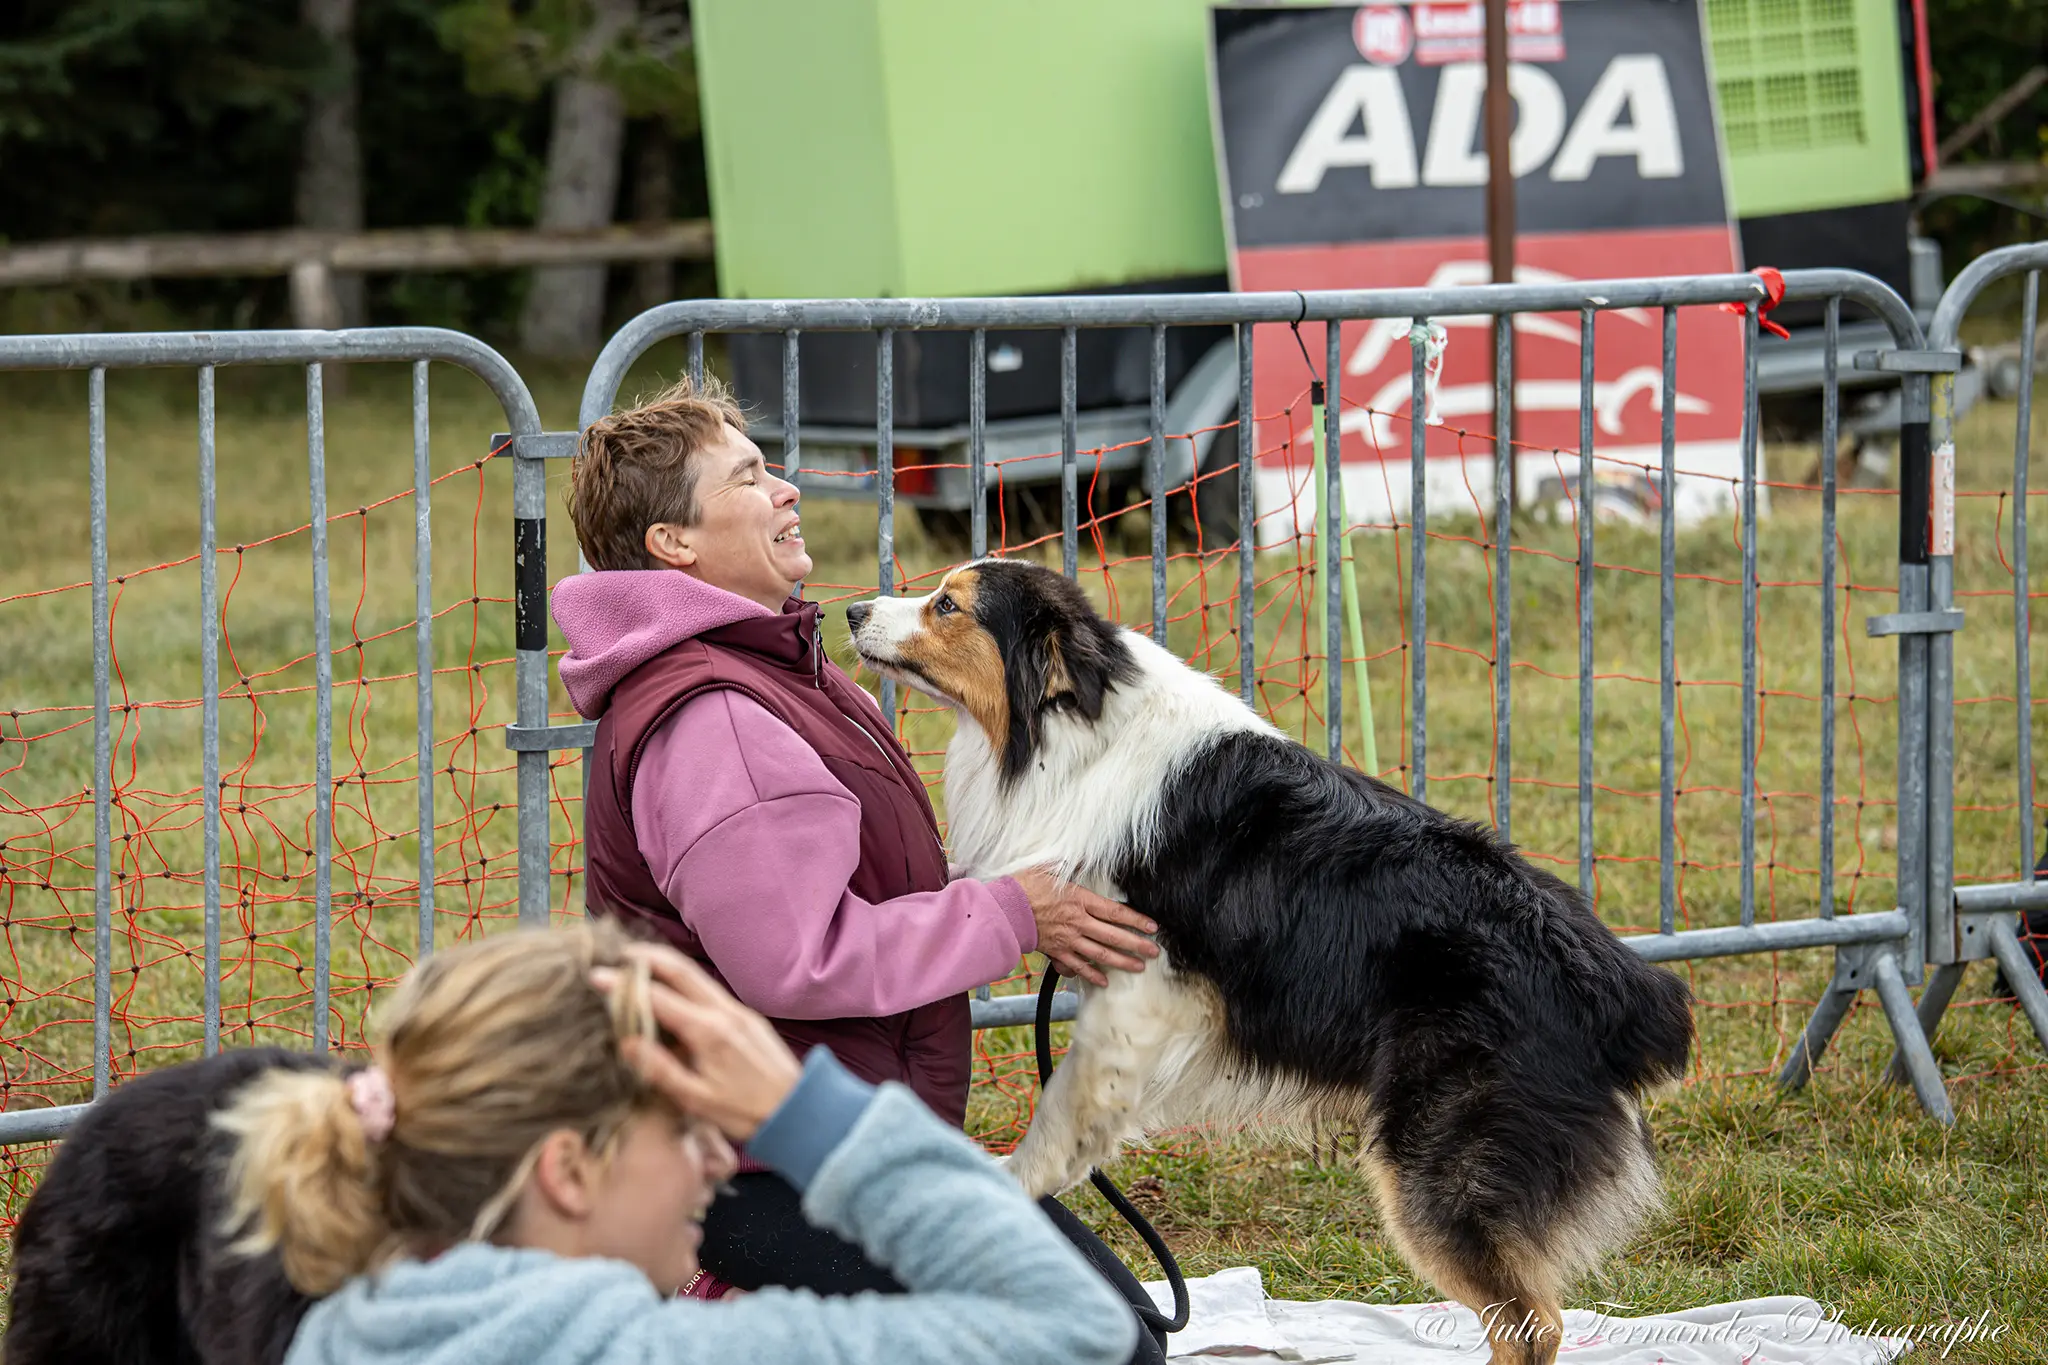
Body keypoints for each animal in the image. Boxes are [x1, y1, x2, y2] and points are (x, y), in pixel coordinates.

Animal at [847, 556, 1695, 1365]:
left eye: (948, 604)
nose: (850, 609)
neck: (1076, 733)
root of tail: (1624, 981)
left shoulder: (1142, 984)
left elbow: (1067, 1101)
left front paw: (1010, 1184)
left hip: (1439, 1165)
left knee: (1531, 1325)